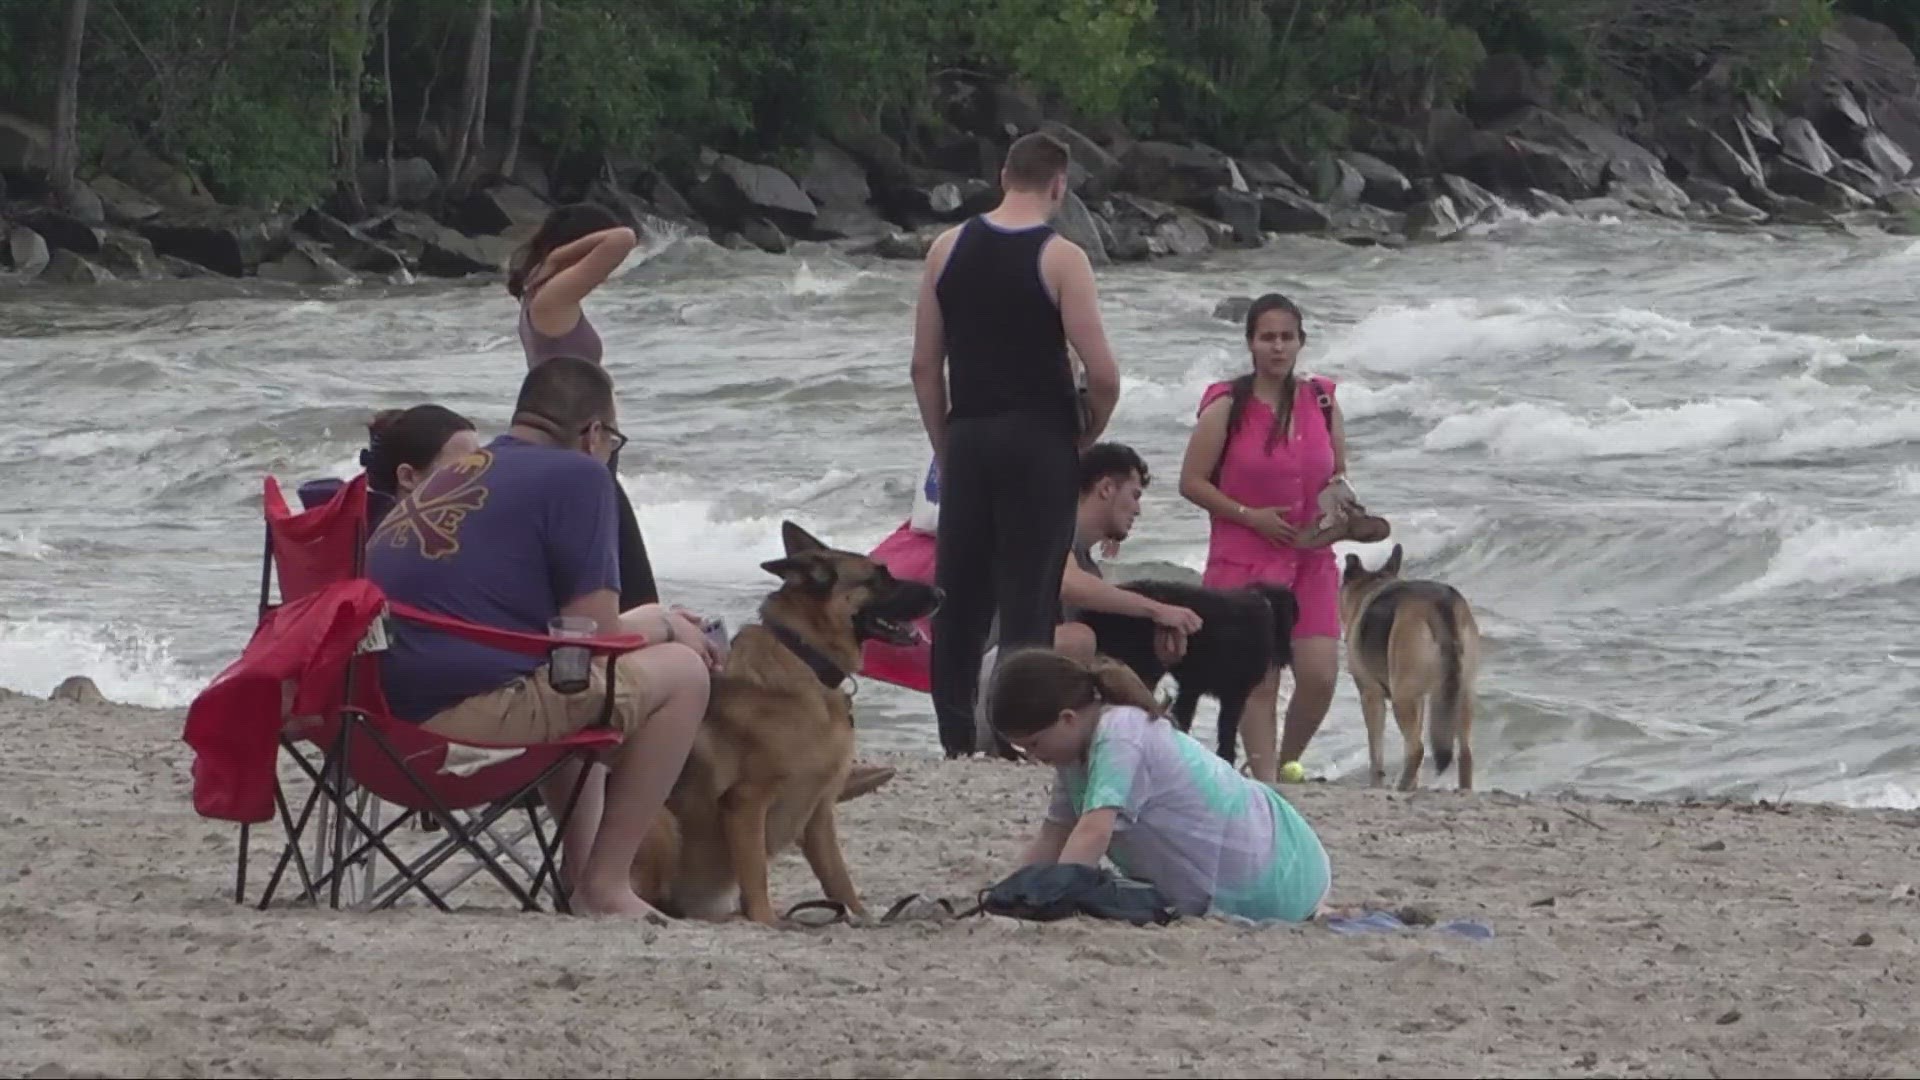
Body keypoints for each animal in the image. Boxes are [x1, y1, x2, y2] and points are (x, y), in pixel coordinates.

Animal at [633, 518, 940, 922]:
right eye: (879, 578)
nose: (942, 592)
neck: (805, 657)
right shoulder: (746, 803)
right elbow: (754, 875)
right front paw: (767, 922)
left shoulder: (820, 814)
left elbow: (838, 878)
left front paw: (861, 917)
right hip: (661, 823)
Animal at [1336, 541, 1482, 787]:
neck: (1372, 585)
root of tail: (1439, 605)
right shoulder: (1420, 700)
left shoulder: (1371, 695)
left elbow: (1376, 753)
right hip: (1462, 693)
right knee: (1465, 752)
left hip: (1401, 697)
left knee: (1417, 749)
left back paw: (1401, 786)